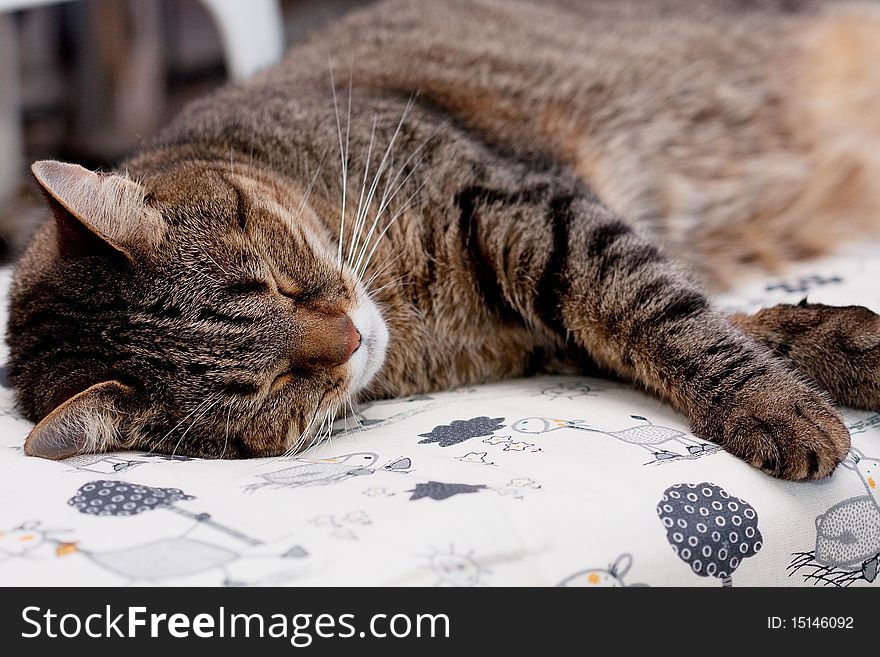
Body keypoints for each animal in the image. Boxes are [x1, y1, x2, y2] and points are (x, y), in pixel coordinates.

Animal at [6, 1, 880, 482]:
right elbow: (676, 321)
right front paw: (814, 367)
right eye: (271, 385)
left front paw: (780, 393)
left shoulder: (528, 205)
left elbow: (659, 308)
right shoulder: (553, 322)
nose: (350, 335)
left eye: (276, 280)